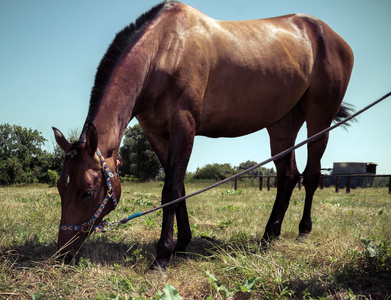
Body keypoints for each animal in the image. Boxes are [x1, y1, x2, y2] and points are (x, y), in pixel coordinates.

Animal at [52, 0, 356, 270]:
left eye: (87, 191)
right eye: (59, 187)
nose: (62, 254)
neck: (164, 51)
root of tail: (333, 37)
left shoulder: (184, 126)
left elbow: (171, 189)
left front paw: (162, 256)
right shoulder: (157, 134)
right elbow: (179, 189)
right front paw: (182, 243)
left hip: (319, 120)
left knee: (311, 175)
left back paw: (303, 230)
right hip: (282, 125)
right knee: (288, 177)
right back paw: (269, 235)